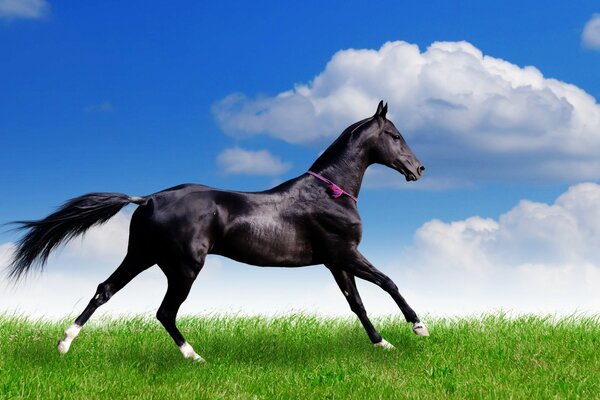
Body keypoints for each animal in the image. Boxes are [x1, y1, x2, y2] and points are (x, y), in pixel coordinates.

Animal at [7, 101, 426, 360]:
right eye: (395, 136)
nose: (419, 169)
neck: (329, 192)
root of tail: (148, 199)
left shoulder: (335, 261)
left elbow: (357, 304)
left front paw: (382, 344)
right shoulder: (345, 253)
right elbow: (388, 282)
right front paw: (418, 327)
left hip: (141, 256)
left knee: (104, 291)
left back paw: (64, 344)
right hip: (184, 267)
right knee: (164, 312)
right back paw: (194, 356)